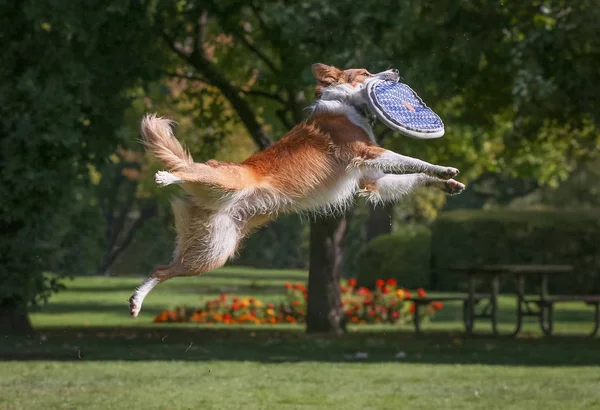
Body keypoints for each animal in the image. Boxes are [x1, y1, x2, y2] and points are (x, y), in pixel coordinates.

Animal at [127, 63, 464, 318]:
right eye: (366, 72)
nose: (395, 70)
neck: (347, 104)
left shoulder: (370, 180)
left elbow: (414, 174)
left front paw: (447, 181)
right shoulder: (366, 152)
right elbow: (412, 160)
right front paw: (444, 169)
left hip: (212, 253)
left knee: (161, 268)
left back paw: (136, 301)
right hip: (226, 185)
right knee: (188, 171)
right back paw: (166, 177)